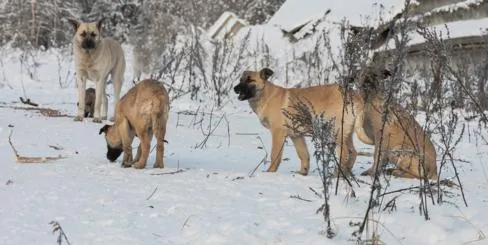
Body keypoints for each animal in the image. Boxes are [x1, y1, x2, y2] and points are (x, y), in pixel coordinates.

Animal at [234, 68, 366, 176]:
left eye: (250, 80)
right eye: (241, 80)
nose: (235, 89)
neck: (265, 95)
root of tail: (354, 95)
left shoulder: (278, 133)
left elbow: (275, 155)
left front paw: (270, 172)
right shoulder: (296, 136)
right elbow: (303, 155)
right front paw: (303, 173)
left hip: (336, 132)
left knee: (345, 154)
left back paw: (336, 175)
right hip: (346, 133)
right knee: (353, 153)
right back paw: (346, 174)